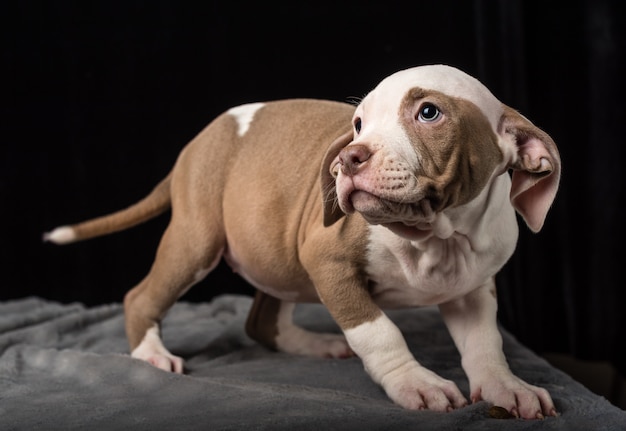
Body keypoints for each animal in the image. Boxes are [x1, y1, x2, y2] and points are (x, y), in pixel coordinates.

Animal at [46, 66, 560, 420]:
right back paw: (151, 354)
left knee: (262, 320)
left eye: (429, 112)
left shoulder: (473, 289)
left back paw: (312, 344)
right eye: (358, 124)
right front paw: (415, 383)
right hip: (197, 240)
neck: (436, 236)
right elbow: (379, 332)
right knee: (141, 297)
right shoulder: (327, 261)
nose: (349, 157)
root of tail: (195, 144)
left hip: (275, 255)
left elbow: (485, 343)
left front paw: (506, 387)